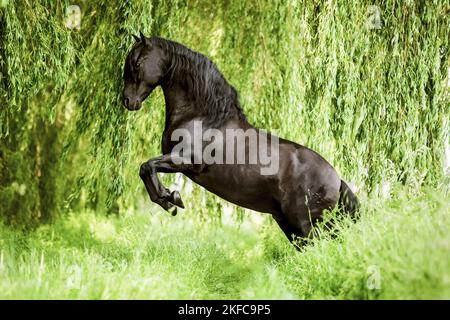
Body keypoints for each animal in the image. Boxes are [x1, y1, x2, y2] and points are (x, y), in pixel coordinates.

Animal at [122, 33, 358, 248]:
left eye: (137, 63)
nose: (127, 101)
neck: (203, 118)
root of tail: (337, 180)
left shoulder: (186, 161)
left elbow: (147, 166)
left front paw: (171, 199)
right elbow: (146, 169)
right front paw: (169, 199)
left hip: (307, 225)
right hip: (291, 225)